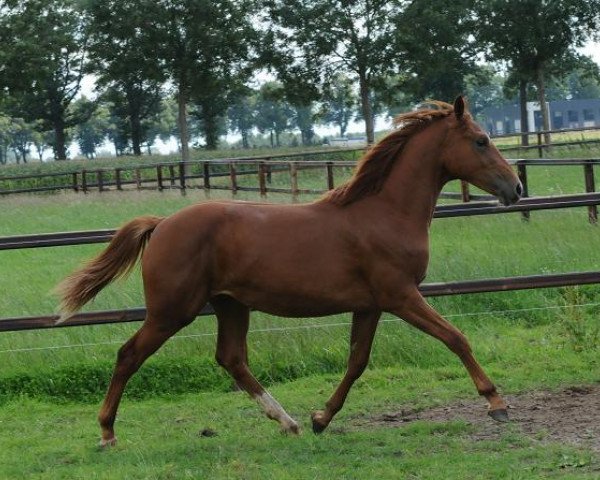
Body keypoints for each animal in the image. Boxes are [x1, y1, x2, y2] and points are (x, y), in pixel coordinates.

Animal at [56, 97, 520, 446]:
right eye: (481, 141)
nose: (514, 188)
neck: (384, 212)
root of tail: (163, 223)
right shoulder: (401, 296)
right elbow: (455, 338)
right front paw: (496, 403)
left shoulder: (370, 305)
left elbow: (357, 362)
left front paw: (321, 418)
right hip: (173, 311)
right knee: (129, 355)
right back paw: (107, 433)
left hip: (230, 305)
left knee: (231, 358)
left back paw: (289, 422)